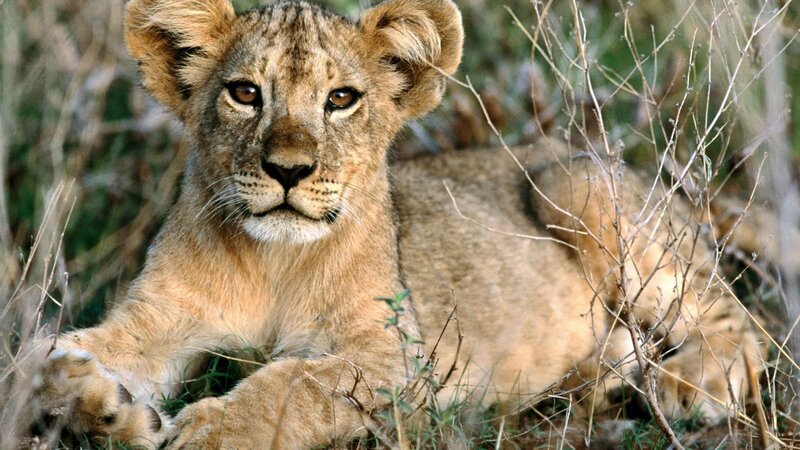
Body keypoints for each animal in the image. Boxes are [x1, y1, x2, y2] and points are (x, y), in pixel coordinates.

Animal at [13, 0, 764, 448]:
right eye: (245, 93)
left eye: (341, 99)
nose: (289, 170)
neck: (273, 261)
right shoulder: (158, 318)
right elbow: (38, 358)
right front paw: (107, 409)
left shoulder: (400, 360)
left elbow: (294, 385)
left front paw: (207, 431)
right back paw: (596, 380)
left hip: (577, 184)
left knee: (739, 326)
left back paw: (687, 385)